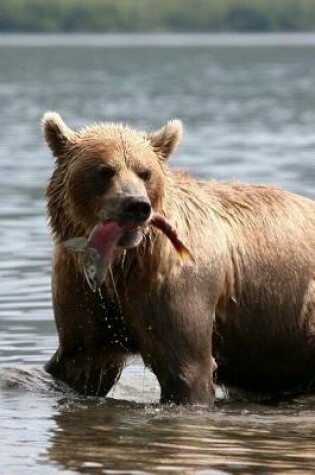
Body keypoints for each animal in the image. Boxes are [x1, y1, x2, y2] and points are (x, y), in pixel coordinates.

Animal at [42, 113, 315, 408]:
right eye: (105, 170)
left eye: (145, 172)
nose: (136, 205)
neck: (123, 262)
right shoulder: (83, 287)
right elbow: (82, 360)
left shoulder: (176, 284)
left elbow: (186, 368)